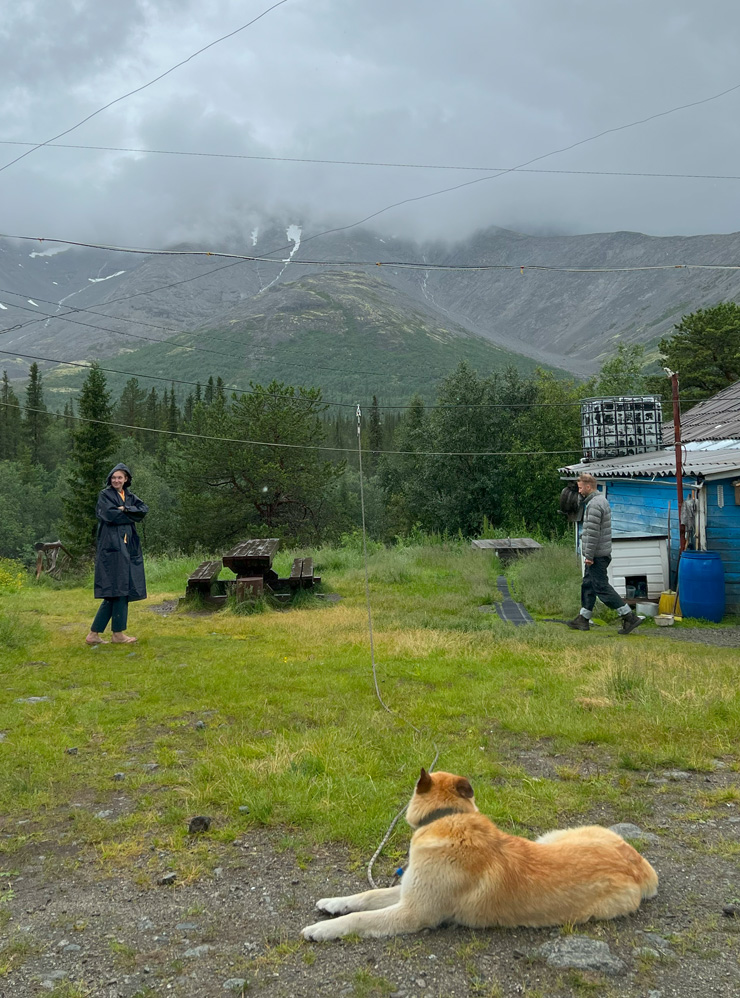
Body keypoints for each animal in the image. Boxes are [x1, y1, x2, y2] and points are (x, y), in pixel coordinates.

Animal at [302, 768, 660, 940]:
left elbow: (360, 918)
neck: (448, 817)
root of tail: (640, 866)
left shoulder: (413, 912)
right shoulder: (408, 890)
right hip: (551, 837)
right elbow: (366, 896)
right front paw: (333, 903)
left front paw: (322, 930)